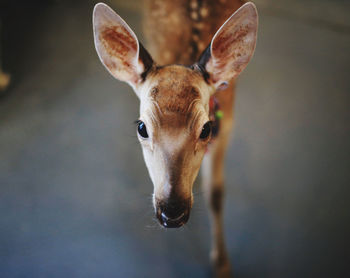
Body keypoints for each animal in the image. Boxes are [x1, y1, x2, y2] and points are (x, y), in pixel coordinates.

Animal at [92, 1, 258, 276]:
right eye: (142, 127)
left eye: (206, 129)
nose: (172, 213)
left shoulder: (227, 127)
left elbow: (216, 194)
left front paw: (222, 263)